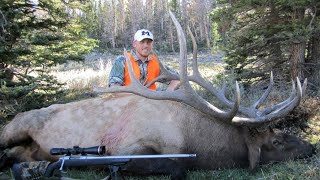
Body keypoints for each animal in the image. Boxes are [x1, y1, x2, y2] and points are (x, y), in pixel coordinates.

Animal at [0, 10, 316, 179]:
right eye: (276, 140)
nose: (312, 147)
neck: (197, 139)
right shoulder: (126, 148)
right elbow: (176, 167)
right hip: (15, 127)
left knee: (12, 156)